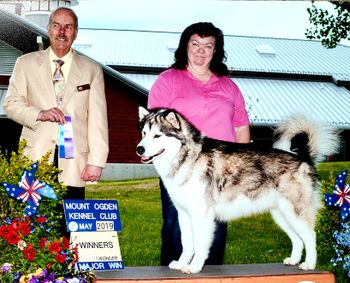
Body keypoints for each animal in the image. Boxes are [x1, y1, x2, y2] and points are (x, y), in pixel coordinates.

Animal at [136, 107, 340, 276]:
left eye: (157, 136)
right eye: (144, 133)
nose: (139, 149)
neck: (187, 158)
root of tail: (304, 158)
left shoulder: (202, 215)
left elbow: (200, 245)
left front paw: (194, 267)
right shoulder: (184, 214)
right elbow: (187, 244)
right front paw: (181, 263)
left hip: (295, 212)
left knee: (310, 236)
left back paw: (309, 264)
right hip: (281, 215)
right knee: (297, 239)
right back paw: (294, 260)